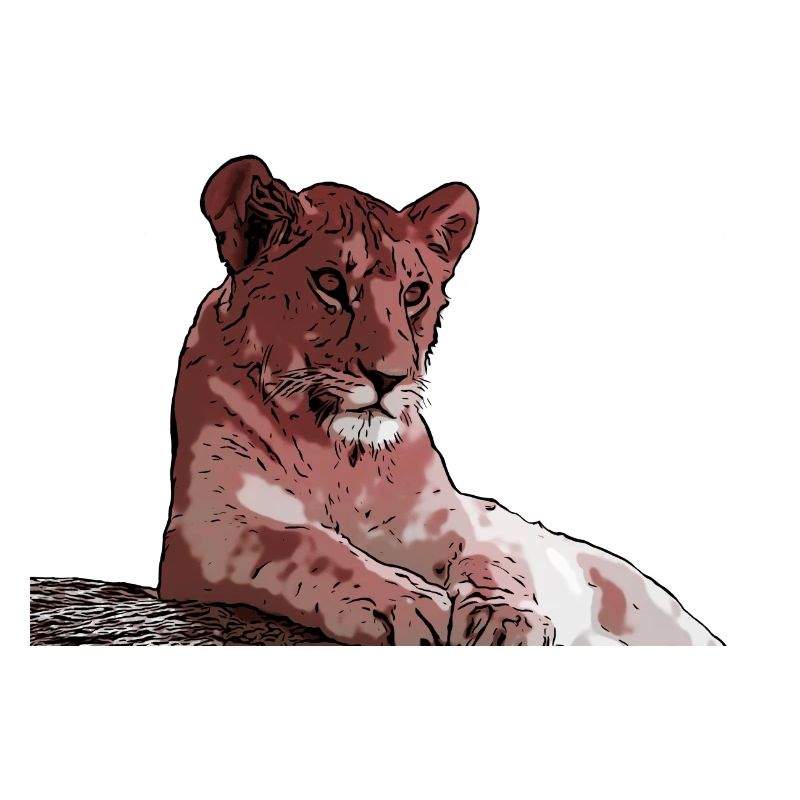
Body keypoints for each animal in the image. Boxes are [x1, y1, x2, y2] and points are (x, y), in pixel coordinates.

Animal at [158, 155, 722, 645]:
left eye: (414, 294)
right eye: (330, 283)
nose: (388, 378)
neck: (340, 458)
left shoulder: (452, 519)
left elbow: (493, 561)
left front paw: (507, 618)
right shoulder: (211, 525)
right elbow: (306, 543)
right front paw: (405, 604)